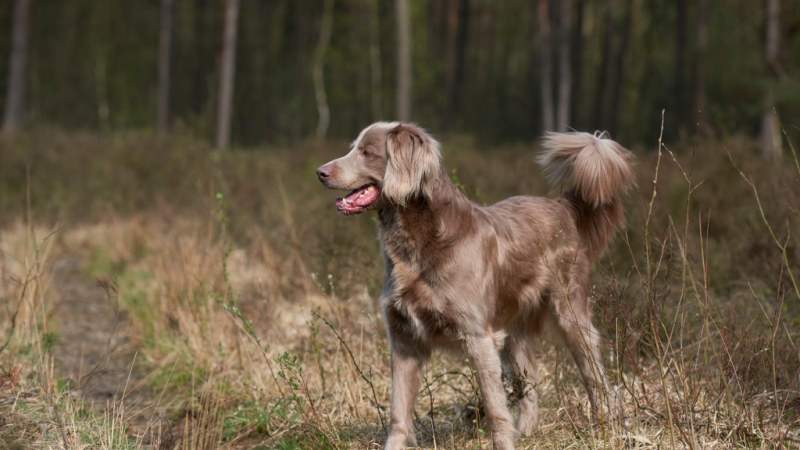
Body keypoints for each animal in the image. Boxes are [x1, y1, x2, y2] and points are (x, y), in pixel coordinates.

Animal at [316, 122, 636, 450]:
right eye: (353, 147)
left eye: (367, 152)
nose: (320, 172)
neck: (416, 245)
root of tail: (562, 205)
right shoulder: (403, 339)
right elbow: (398, 412)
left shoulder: (478, 337)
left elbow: (495, 408)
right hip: (512, 332)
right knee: (531, 381)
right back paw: (527, 432)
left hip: (570, 314)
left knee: (595, 376)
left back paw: (606, 428)